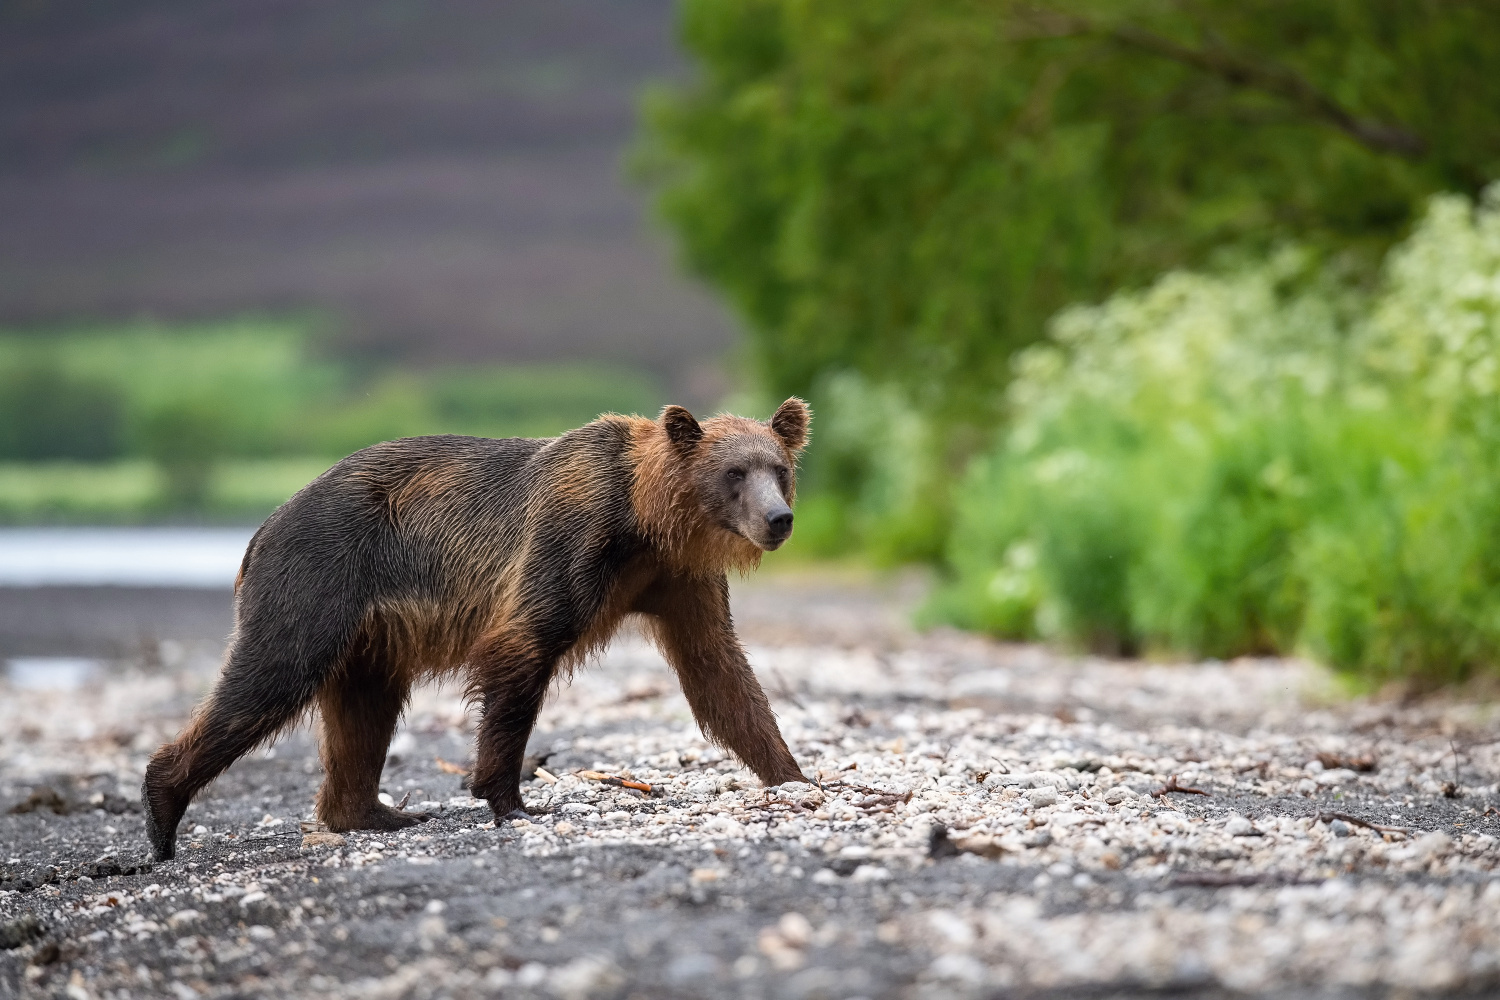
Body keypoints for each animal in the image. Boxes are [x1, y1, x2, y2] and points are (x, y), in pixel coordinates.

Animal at [141, 398, 816, 863]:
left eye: (777, 468)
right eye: (734, 473)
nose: (778, 519)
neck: (645, 521)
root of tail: (262, 526)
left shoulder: (678, 580)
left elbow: (720, 671)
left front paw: (793, 774)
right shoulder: (569, 539)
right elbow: (523, 648)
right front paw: (509, 797)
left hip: (369, 632)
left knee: (364, 709)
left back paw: (372, 813)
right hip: (319, 574)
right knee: (271, 674)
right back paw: (162, 807)